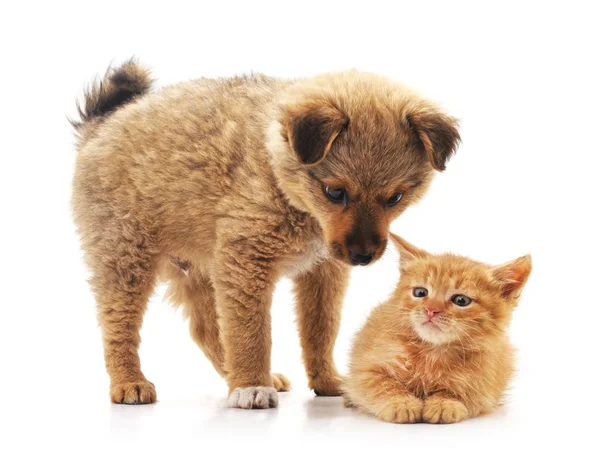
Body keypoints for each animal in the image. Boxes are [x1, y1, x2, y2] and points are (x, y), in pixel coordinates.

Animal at [72, 59, 462, 410]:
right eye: (335, 192)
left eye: (395, 198)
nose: (362, 257)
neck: (278, 176)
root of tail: (103, 124)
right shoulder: (247, 263)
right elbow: (251, 331)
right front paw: (251, 387)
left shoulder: (322, 271)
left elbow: (320, 329)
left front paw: (327, 380)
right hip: (126, 258)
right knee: (118, 327)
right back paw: (130, 382)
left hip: (199, 268)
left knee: (207, 329)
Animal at [344, 235, 532, 422]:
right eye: (420, 292)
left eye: (461, 300)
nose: (431, 310)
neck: (432, 352)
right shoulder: (364, 370)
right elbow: (382, 384)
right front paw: (401, 402)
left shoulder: (484, 385)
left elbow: (458, 391)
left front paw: (444, 403)